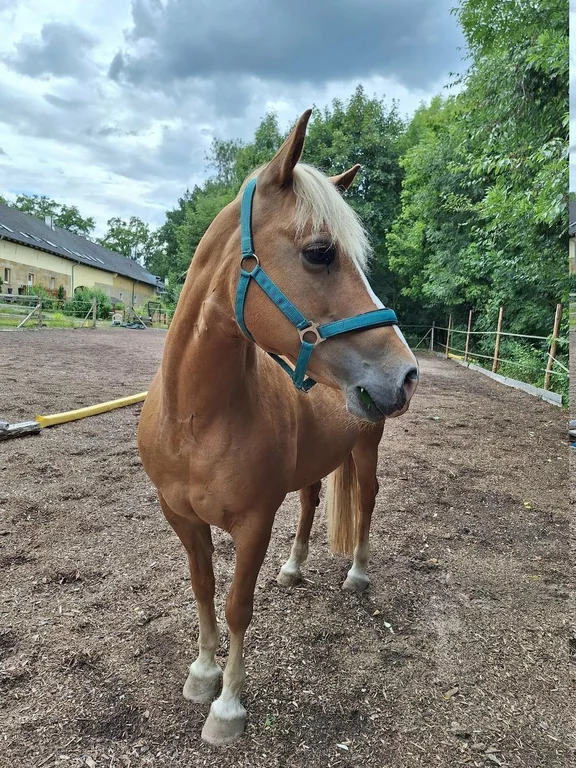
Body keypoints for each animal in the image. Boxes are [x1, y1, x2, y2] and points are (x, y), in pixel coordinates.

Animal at [137, 109, 418, 745]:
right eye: (319, 252)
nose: (407, 374)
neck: (195, 419)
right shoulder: (182, 519)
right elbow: (203, 589)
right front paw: (201, 675)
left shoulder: (252, 523)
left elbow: (238, 605)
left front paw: (227, 708)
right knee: (313, 500)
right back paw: (294, 569)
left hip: (366, 449)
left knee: (366, 499)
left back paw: (358, 575)